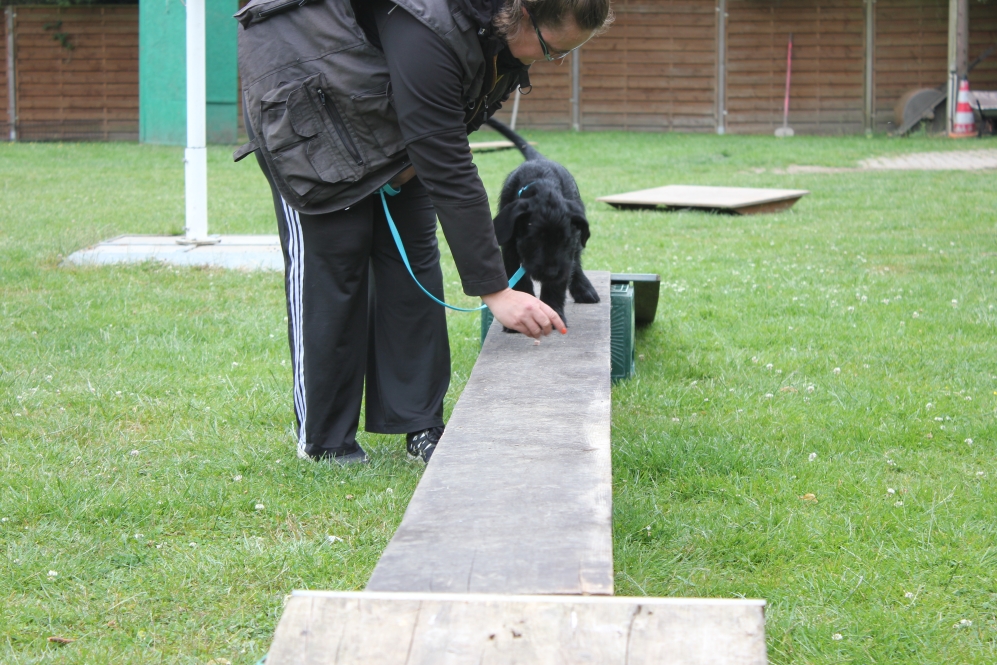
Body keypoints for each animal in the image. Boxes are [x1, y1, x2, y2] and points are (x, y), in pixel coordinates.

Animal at [484, 118, 596, 326]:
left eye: (564, 241)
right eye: (534, 240)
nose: (551, 273)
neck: (543, 183)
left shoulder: (567, 252)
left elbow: (559, 282)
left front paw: (554, 311)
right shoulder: (510, 248)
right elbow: (520, 281)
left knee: (576, 263)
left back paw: (584, 289)